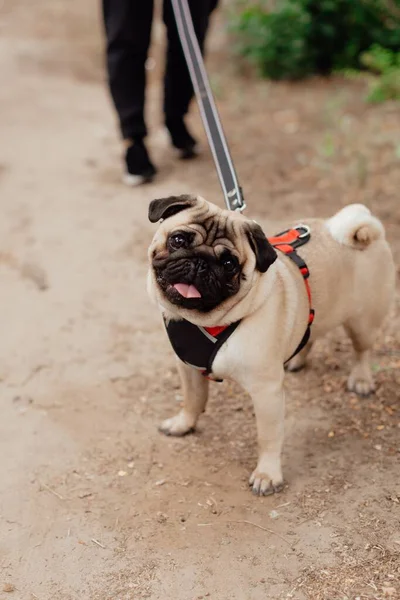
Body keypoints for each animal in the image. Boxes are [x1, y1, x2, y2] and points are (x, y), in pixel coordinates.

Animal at [146, 195, 394, 494]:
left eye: (229, 263)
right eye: (179, 239)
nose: (201, 262)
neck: (203, 321)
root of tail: (365, 230)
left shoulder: (266, 391)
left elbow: (268, 436)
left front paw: (267, 474)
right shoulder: (189, 368)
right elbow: (193, 400)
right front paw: (183, 424)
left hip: (362, 322)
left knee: (362, 351)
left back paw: (361, 379)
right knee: (308, 334)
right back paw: (297, 359)